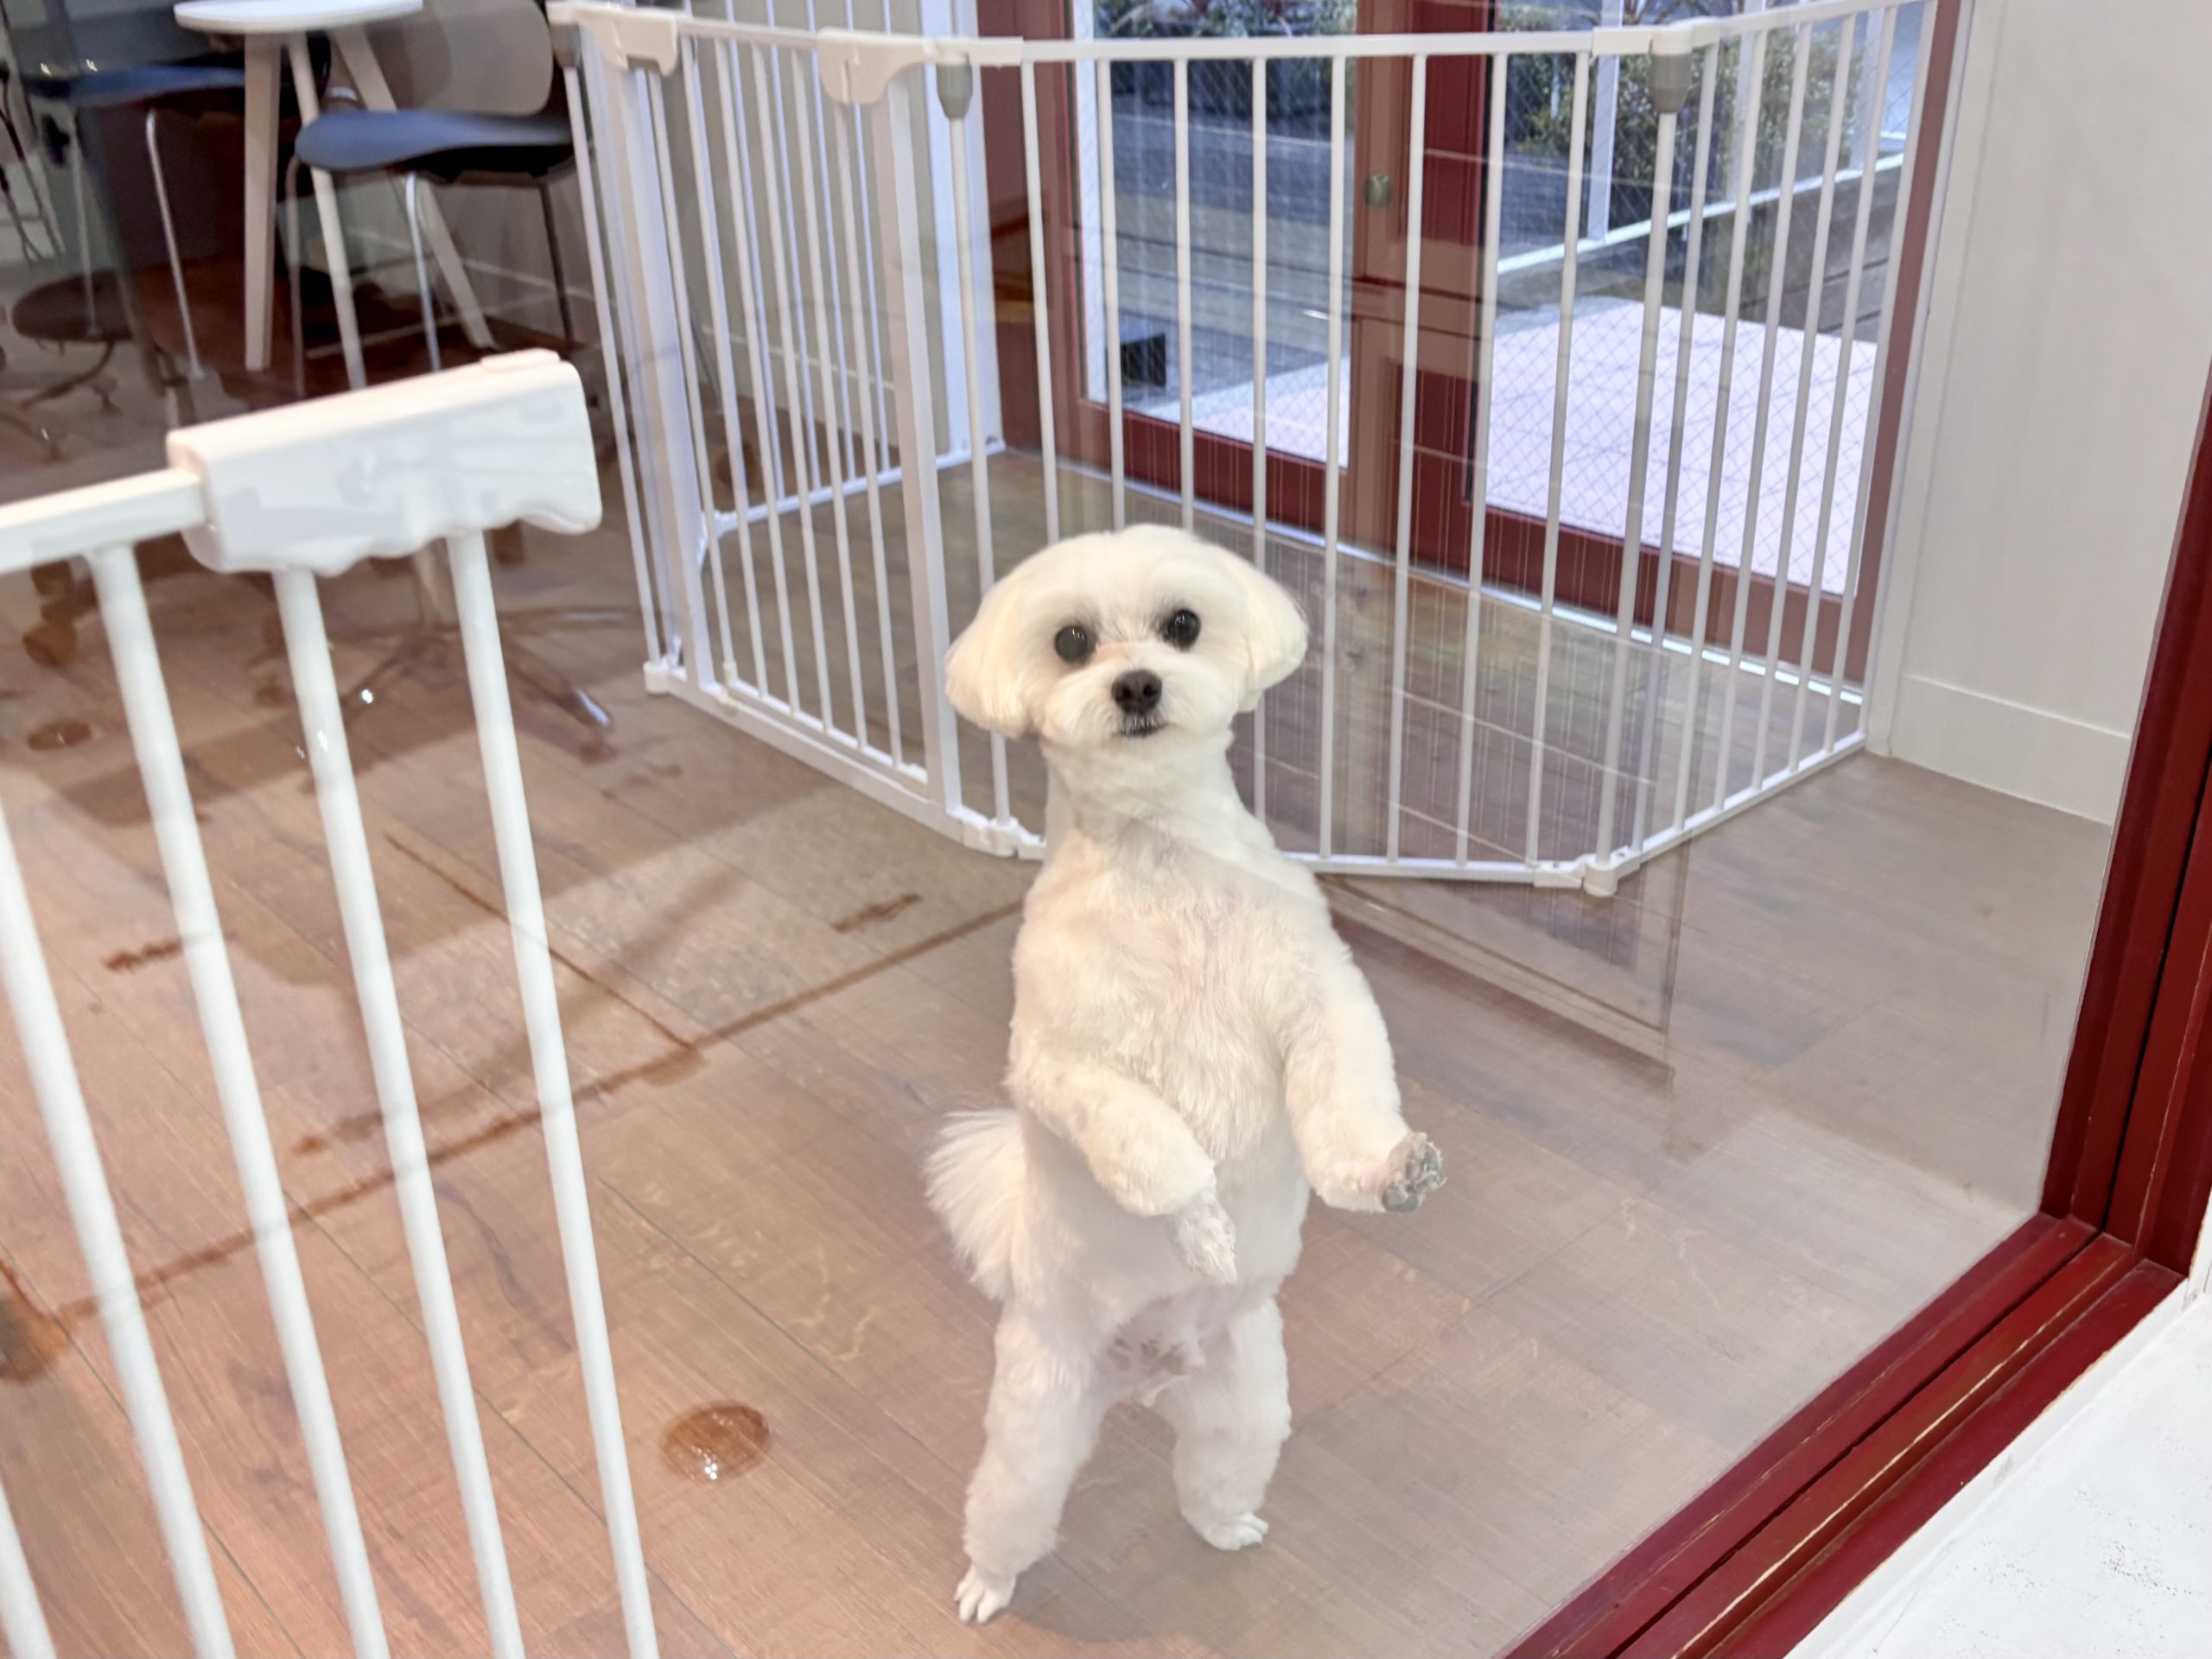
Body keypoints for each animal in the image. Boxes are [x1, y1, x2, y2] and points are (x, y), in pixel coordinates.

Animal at [927, 524, 1446, 1624]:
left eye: (1181, 624)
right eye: (1070, 641)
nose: (1134, 684)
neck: (1162, 862)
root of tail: (1146, 1382)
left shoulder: (1317, 995)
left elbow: (1345, 1101)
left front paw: (1391, 1174)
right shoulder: (1062, 1064)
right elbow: (1154, 1147)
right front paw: (1202, 1227)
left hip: (1245, 1402)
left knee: (1214, 1475)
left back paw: (1226, 1524)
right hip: (1037, 1420)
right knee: (1007, 1510)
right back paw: (988, 1585)